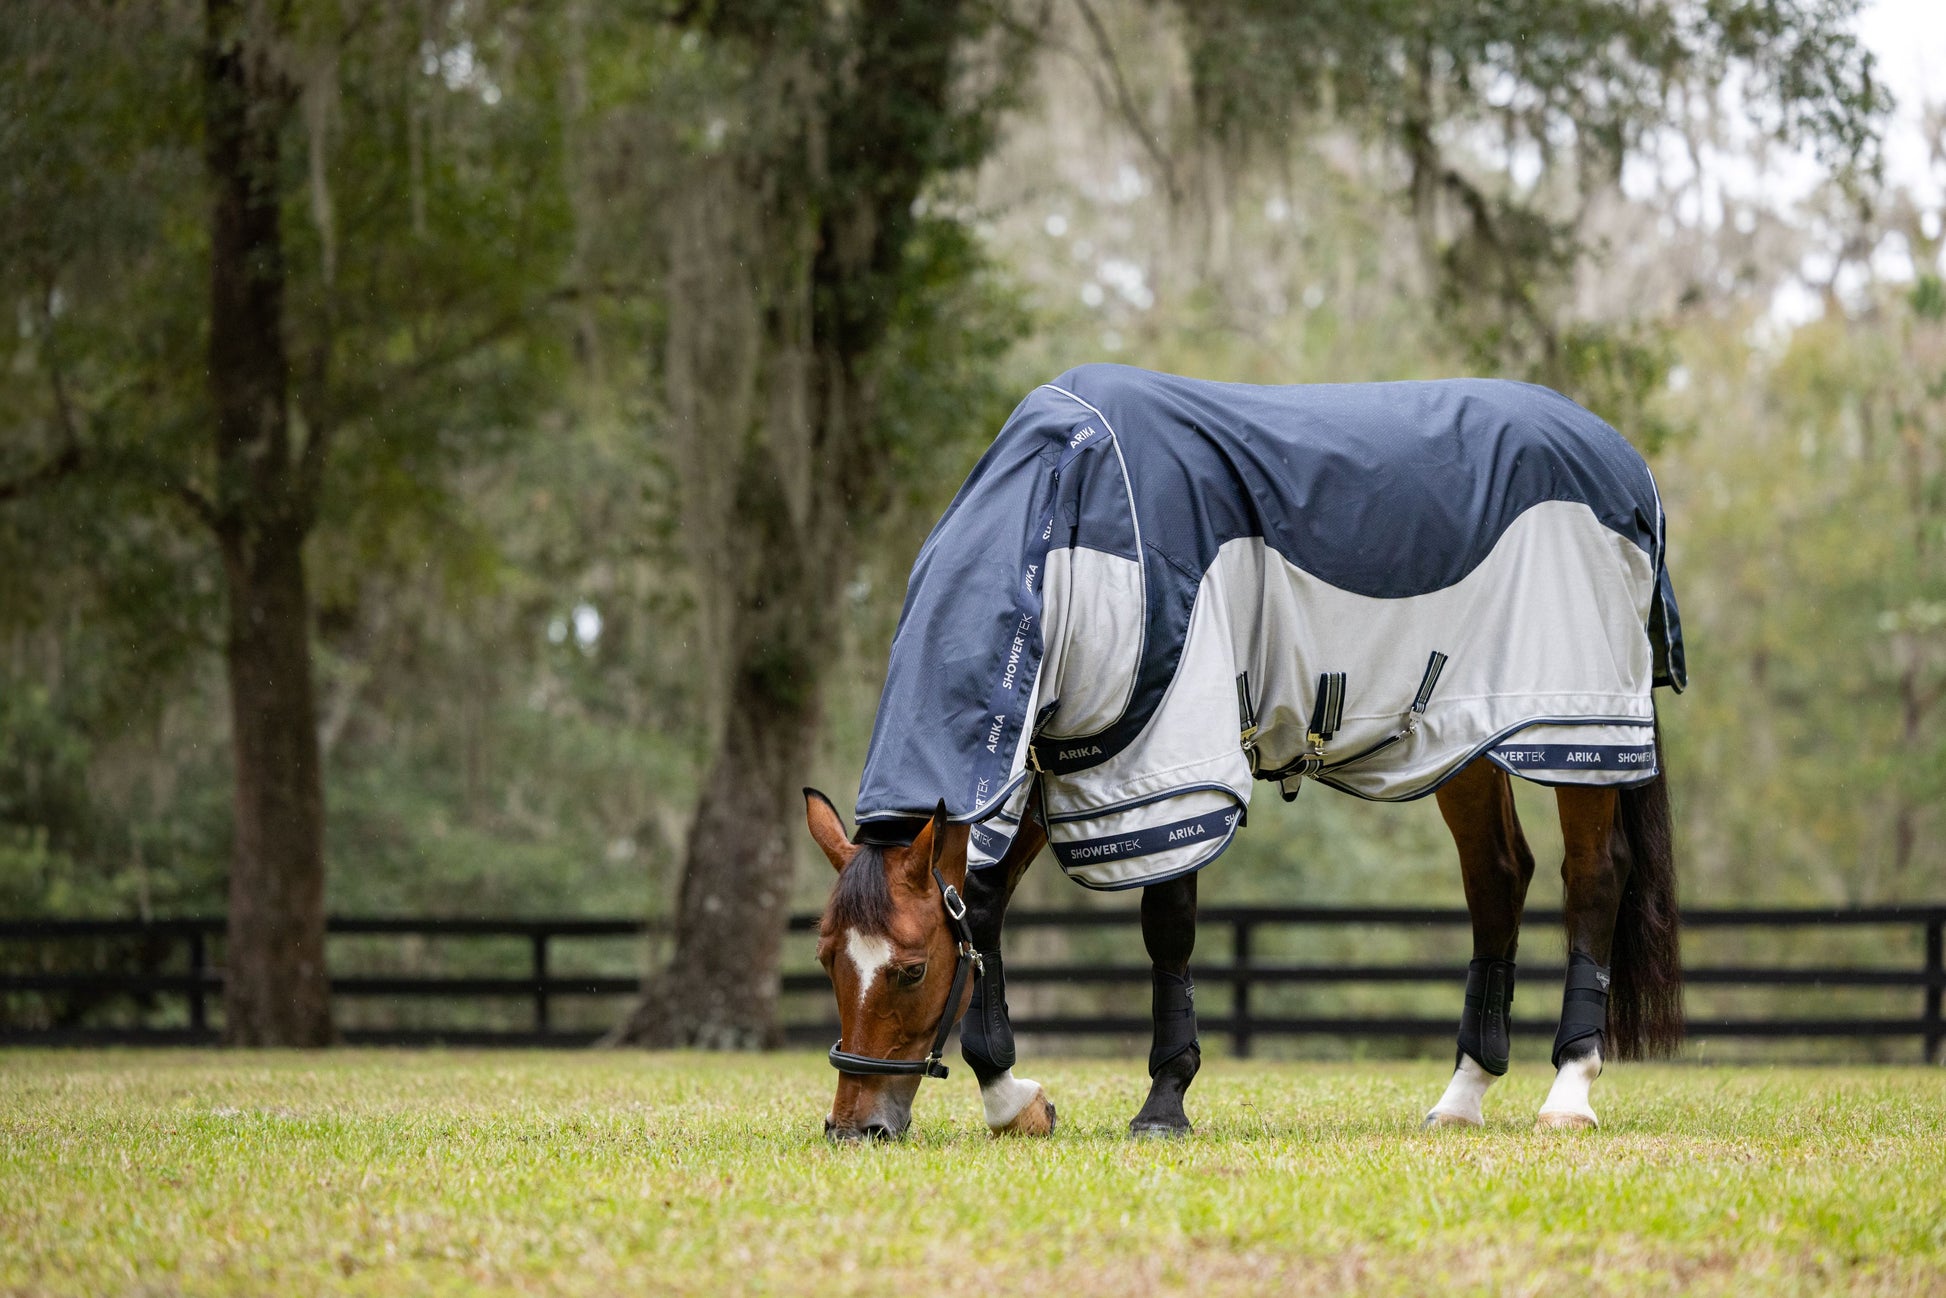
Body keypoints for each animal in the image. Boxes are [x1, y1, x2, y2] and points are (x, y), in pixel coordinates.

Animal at [808, 365, 1685, 1141]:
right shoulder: (1052, 752)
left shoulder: (1165, 762)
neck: (1073, 520)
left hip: (1578, 732)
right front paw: (1012, 1099)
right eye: (826, 961)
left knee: (1593, 878)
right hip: (1463, 740)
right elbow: (982, 908)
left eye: (911, 969)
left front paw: (1163, 1103)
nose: (858, 1128)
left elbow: (1168, 925)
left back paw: (1569, 1092)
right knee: (1498, 879)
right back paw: (1463, 1097)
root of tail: (1622, 460)